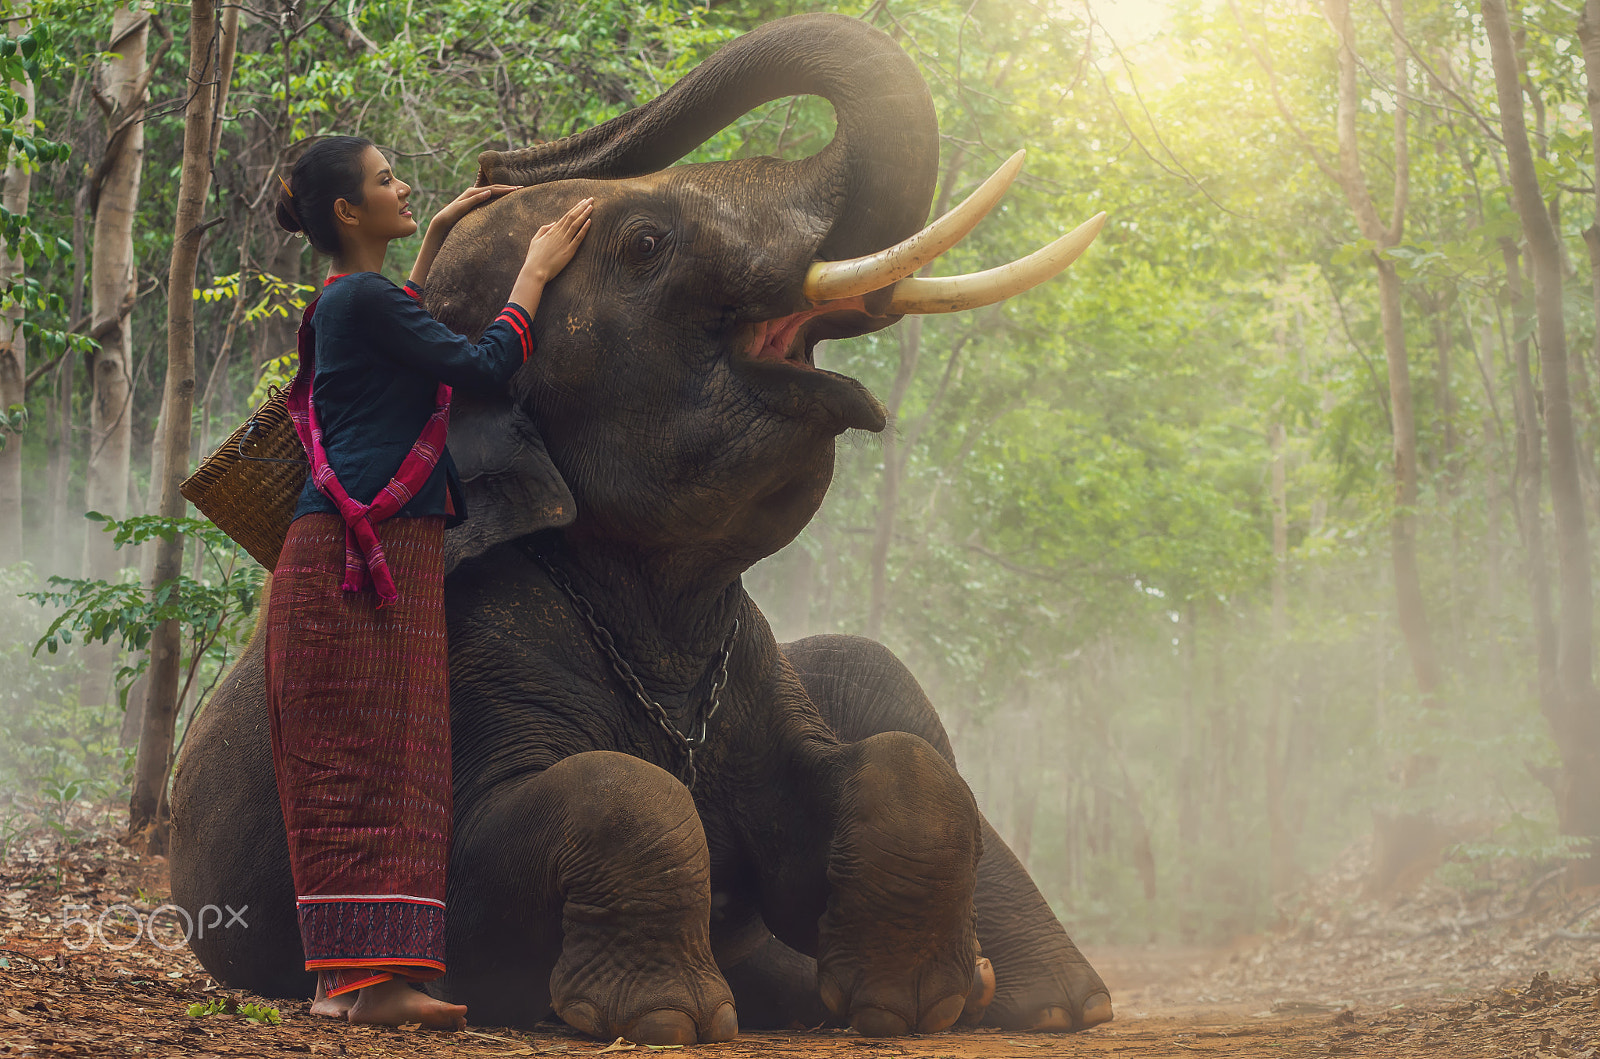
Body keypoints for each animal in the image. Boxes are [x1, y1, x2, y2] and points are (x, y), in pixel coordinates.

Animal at [169, 13, 1111, 1044]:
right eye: (646, 242)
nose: (491, 168)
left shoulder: (757, 674)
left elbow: (889, 779)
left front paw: (917, 1003)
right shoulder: (475, 650)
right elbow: (608, 795)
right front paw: (667, 1017)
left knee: (881, 679)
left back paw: (1043, 1001)